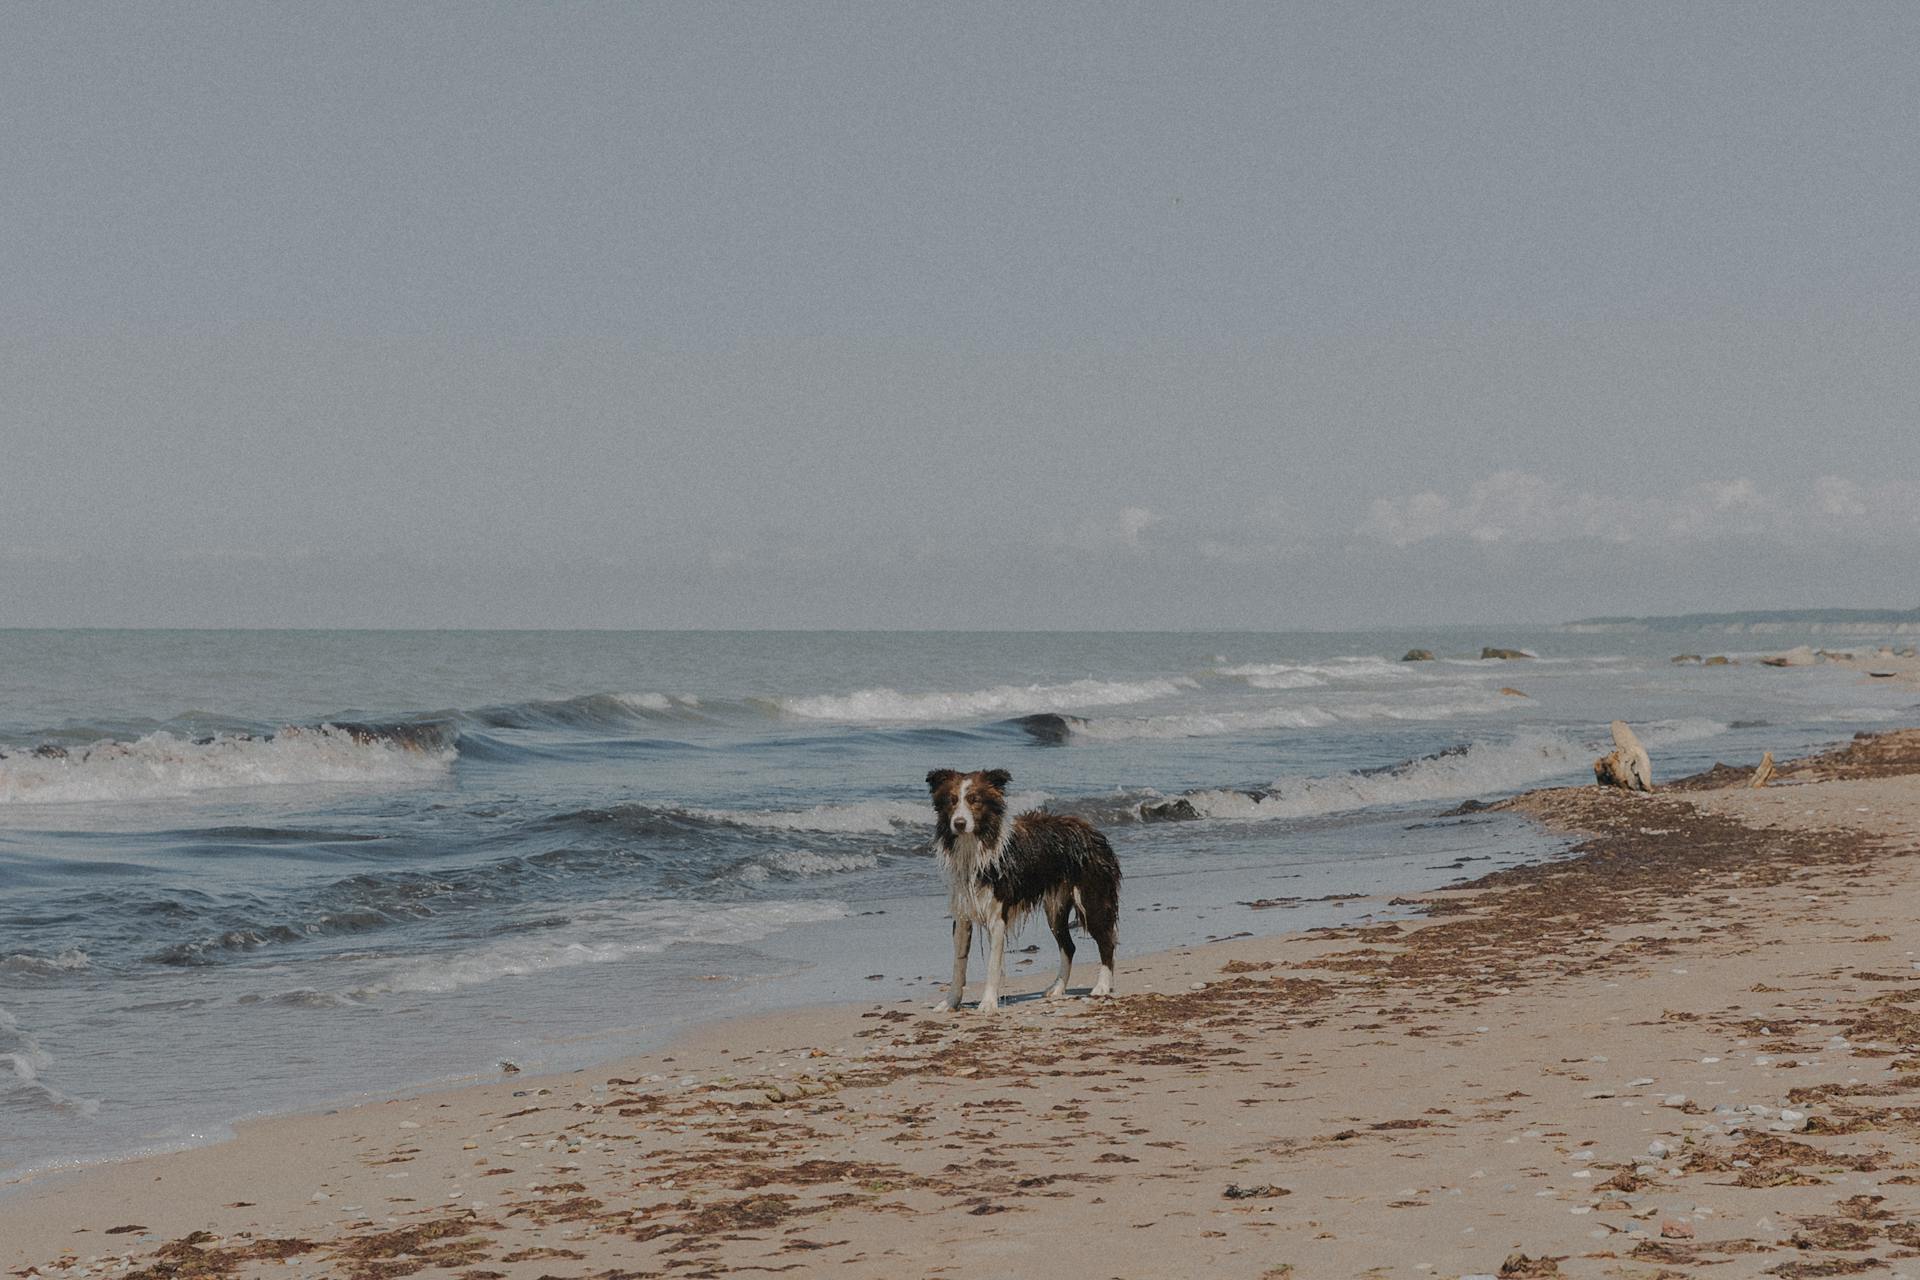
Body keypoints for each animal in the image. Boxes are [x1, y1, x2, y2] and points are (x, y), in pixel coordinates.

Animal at [921, 767, 1121, 1013]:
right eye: (952, 800)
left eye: (974, 800)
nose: (959, 823)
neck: (976, 848)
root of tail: (1093, 831)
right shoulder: (962, 915)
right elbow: (958, 965)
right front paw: (950, 1002)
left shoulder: (997, 916)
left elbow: (993, 966)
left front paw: (988, 1004)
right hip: (1055, 909)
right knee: (1069, 946)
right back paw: (1057, 988)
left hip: (1092, 900)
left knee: (1107, 942)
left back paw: (1101, 986)